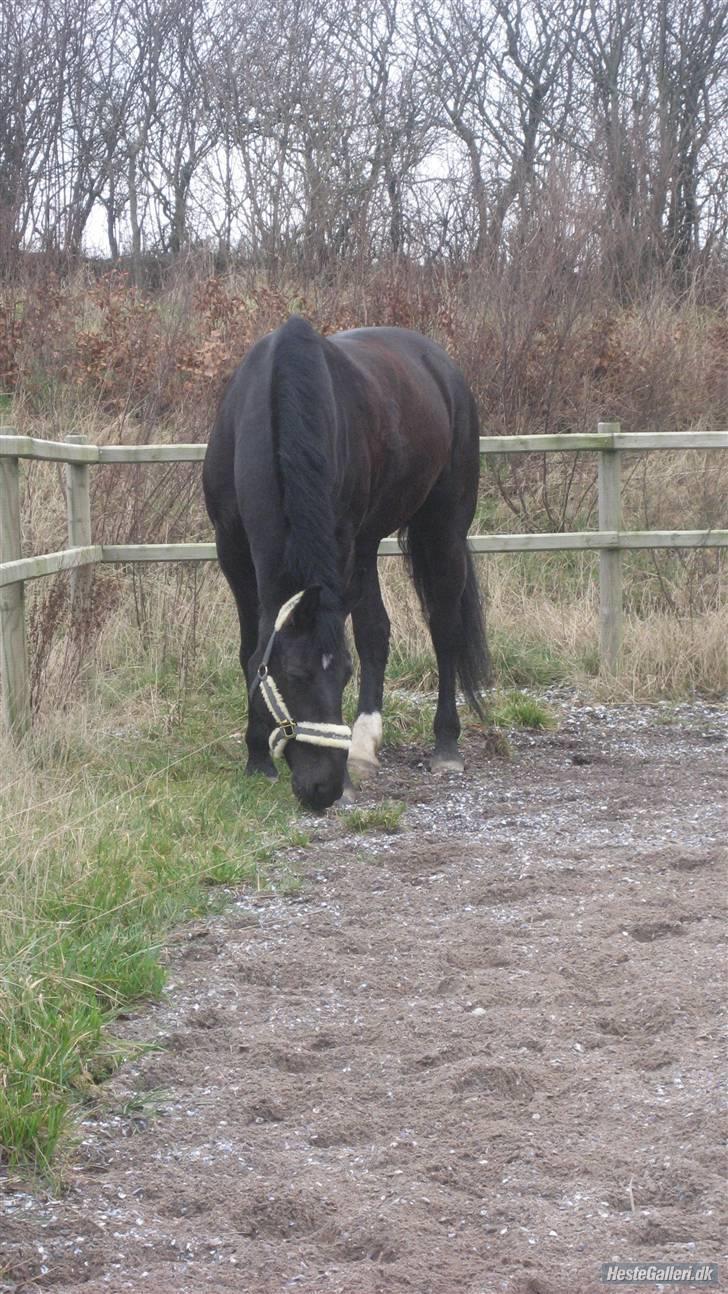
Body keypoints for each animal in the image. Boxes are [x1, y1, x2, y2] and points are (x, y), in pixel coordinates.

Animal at [201, 313, 493, 807]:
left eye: (343, 676)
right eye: (293, 676)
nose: (324, 789)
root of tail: (440, 364)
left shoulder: (339, 543)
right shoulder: (232, 550)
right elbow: (250, 648)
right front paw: (258, 759)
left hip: (443, 528)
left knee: (444, 629)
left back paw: (444, 745)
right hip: (369, 541)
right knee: (376, 629)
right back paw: (364, 747)